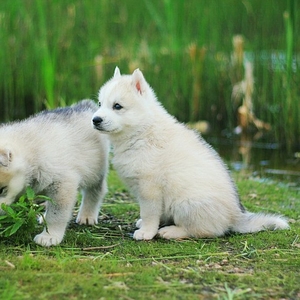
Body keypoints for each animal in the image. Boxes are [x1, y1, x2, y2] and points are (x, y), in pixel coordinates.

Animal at [0, 101, 109, 246]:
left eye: (1, 190)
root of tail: (86, 104)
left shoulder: (63, 184)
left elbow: (57, 214)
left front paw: (49, 236)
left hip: (95, 170)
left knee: (95, 191)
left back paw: (87, 216)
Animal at [92, 68, 288, 241]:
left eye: (117, 106)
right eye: (100, 104)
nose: (95, 120)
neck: (142, 132)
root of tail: (235, 216)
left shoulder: (150, 189)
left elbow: (149, 213)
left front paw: (147, 232)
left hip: (185, 203)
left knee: (203, 230)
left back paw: (172, 231)